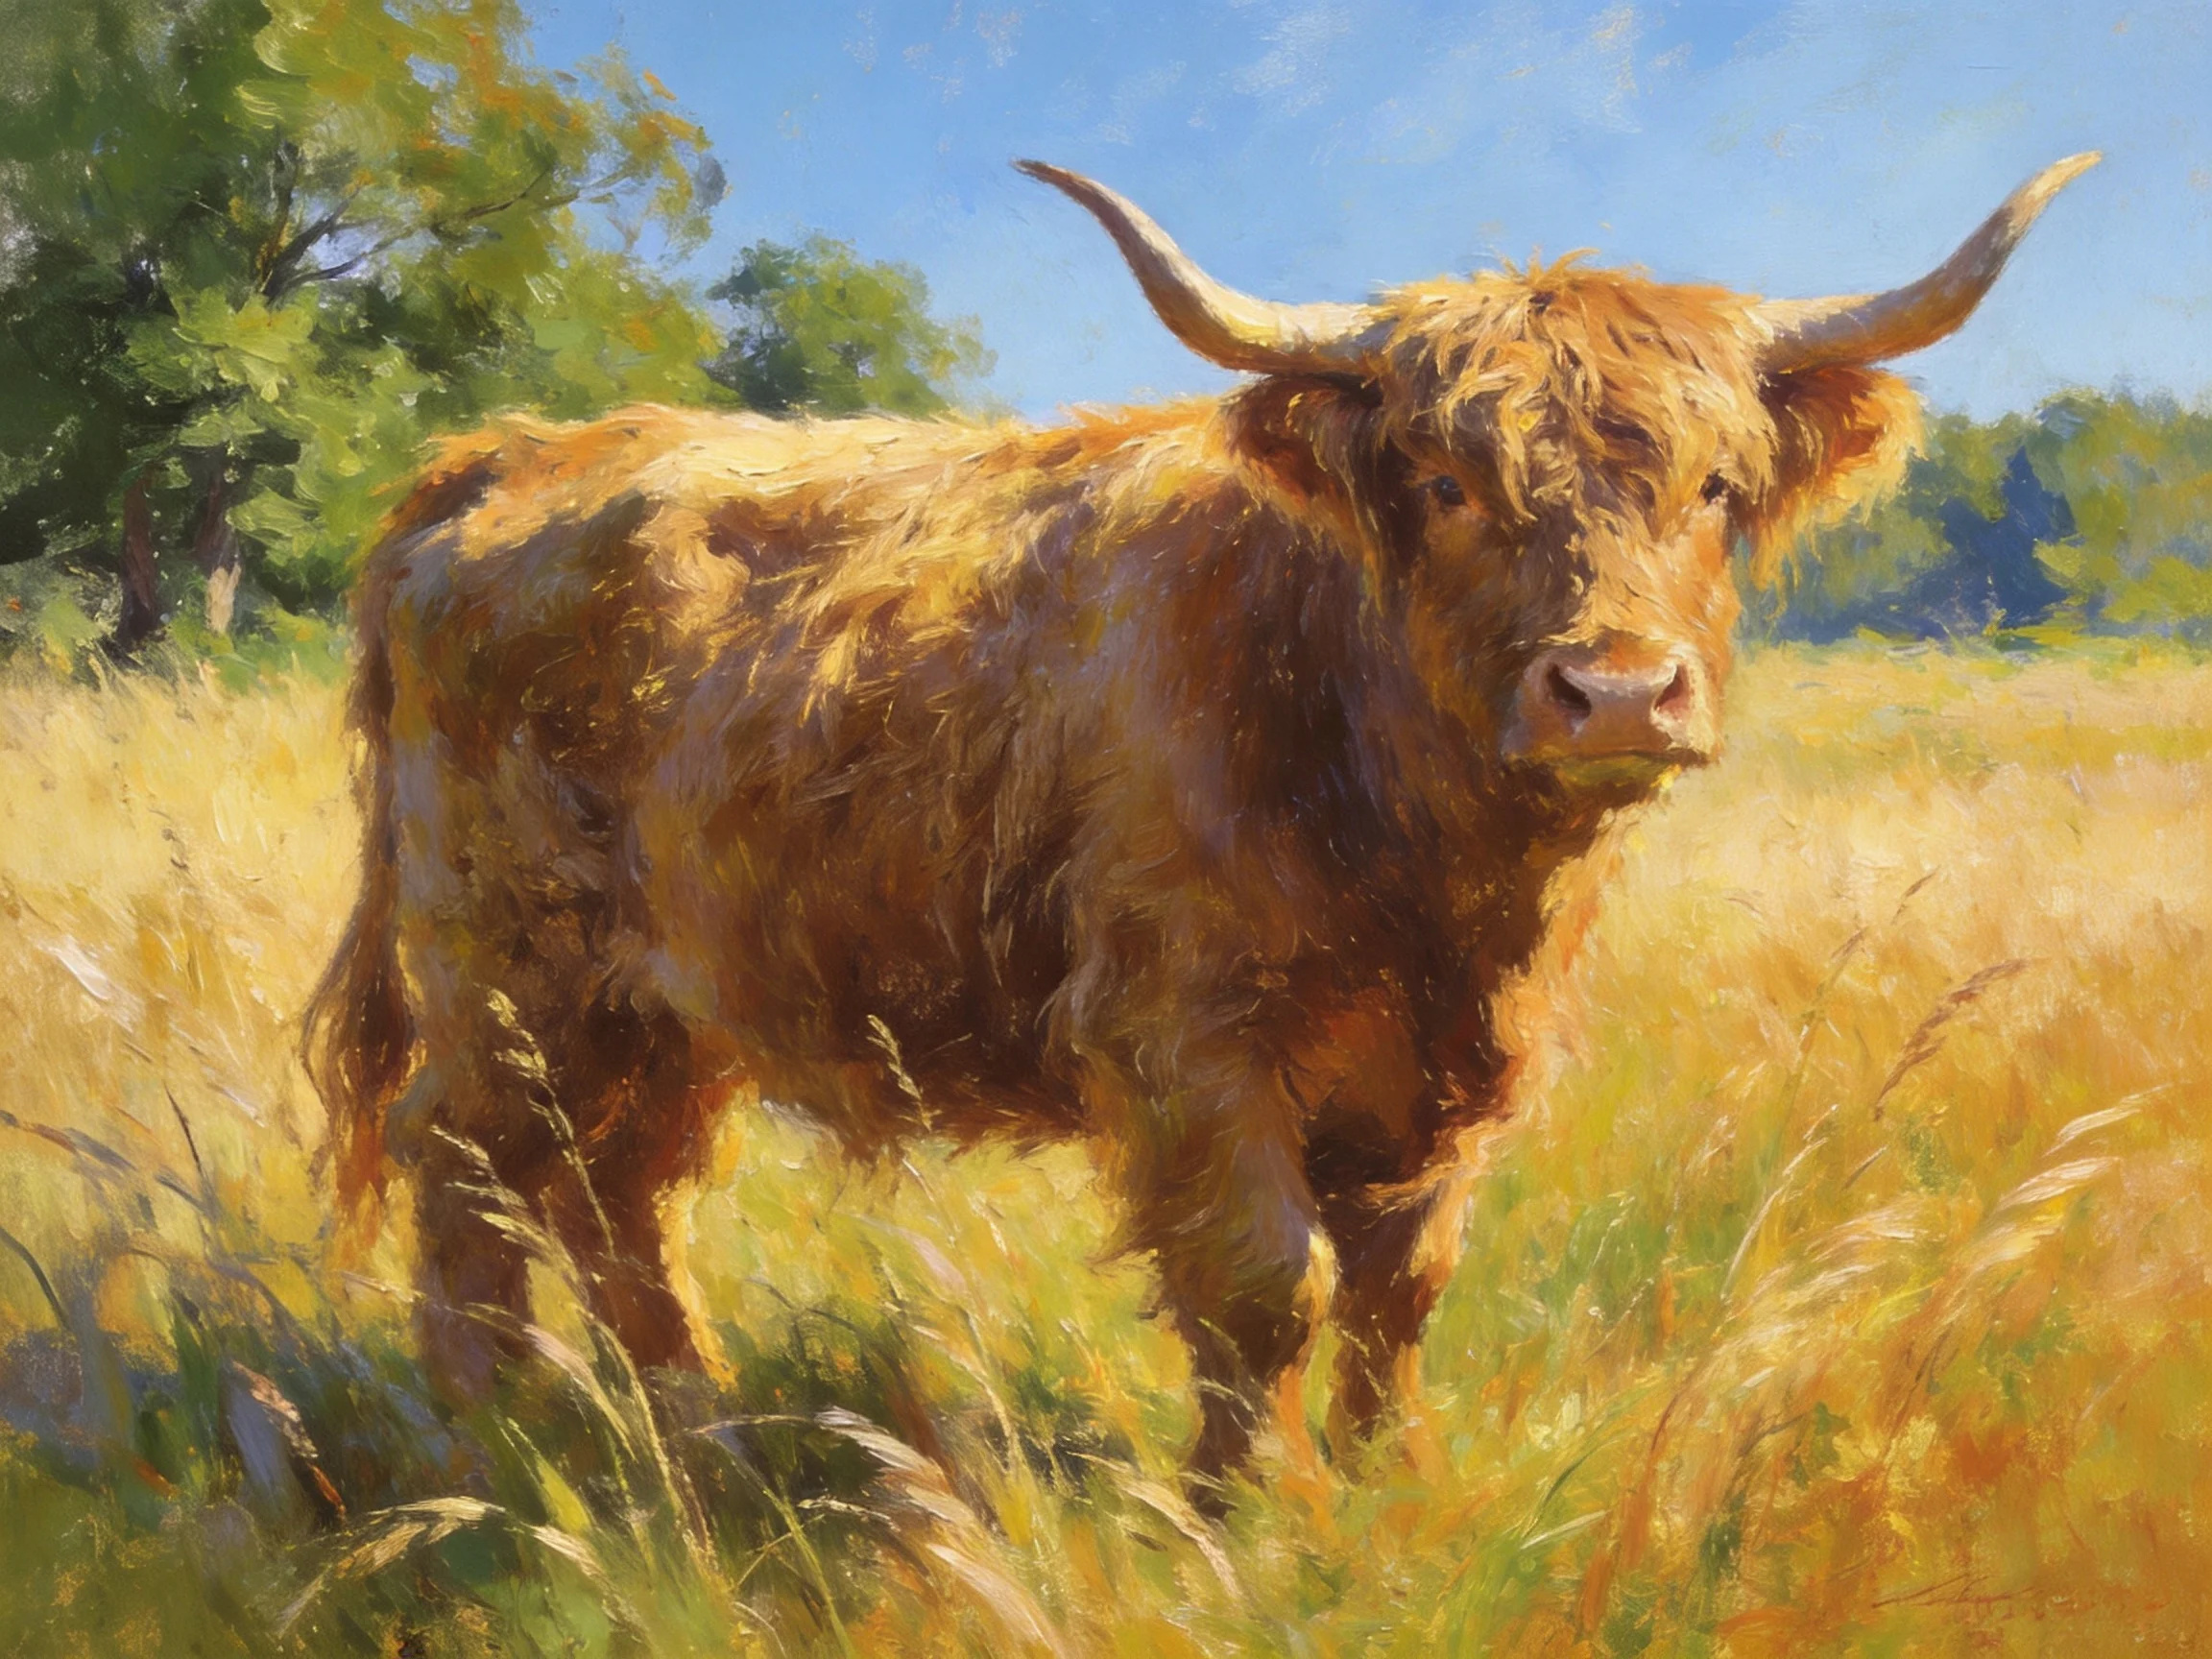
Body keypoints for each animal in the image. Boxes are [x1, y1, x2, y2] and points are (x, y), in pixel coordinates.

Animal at [306, 154, 2094, 1496]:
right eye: (1444, 485)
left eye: (1715, 489)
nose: (1615, 691)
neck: (1426, 863)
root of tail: (511, 458)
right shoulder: (1189, 1040)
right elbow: (1264, 1282)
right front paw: (1255, 1515)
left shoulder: (1447, 1067)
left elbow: (1398, 1283)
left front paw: (1388, 1487)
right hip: (503, 962)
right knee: (467, 1169)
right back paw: (491, 1440)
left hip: (663, 1003)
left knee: (616, 1190)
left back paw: (694, 1429)